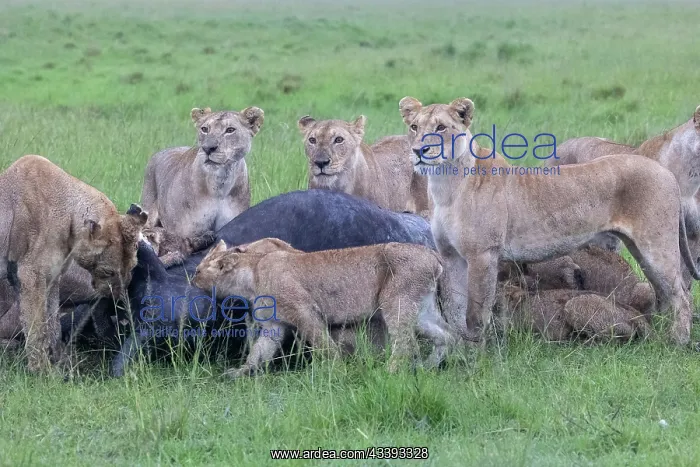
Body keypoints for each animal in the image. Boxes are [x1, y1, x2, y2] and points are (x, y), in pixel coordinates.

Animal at [0, 155, 148, 372]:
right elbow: (37, 326)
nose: (117, 297)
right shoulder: (30, 275)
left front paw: (59, 363)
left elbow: (52, 323)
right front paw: (41, 370)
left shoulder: (52, 277)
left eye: (131, 269)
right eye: (108, 272)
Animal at [192, 238, 459, 378]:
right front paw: (240, 372)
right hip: (422, 310)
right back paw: (429, 366)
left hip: (397, 302)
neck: (251, 276)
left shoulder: (305, 311)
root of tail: (433, 254)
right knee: (446, 335)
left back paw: (390, 371)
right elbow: (258, 351)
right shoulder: (274, 325)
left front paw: (337, 370)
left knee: (405, 344)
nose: (191, 279)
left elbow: (324, 344)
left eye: (197, 270)